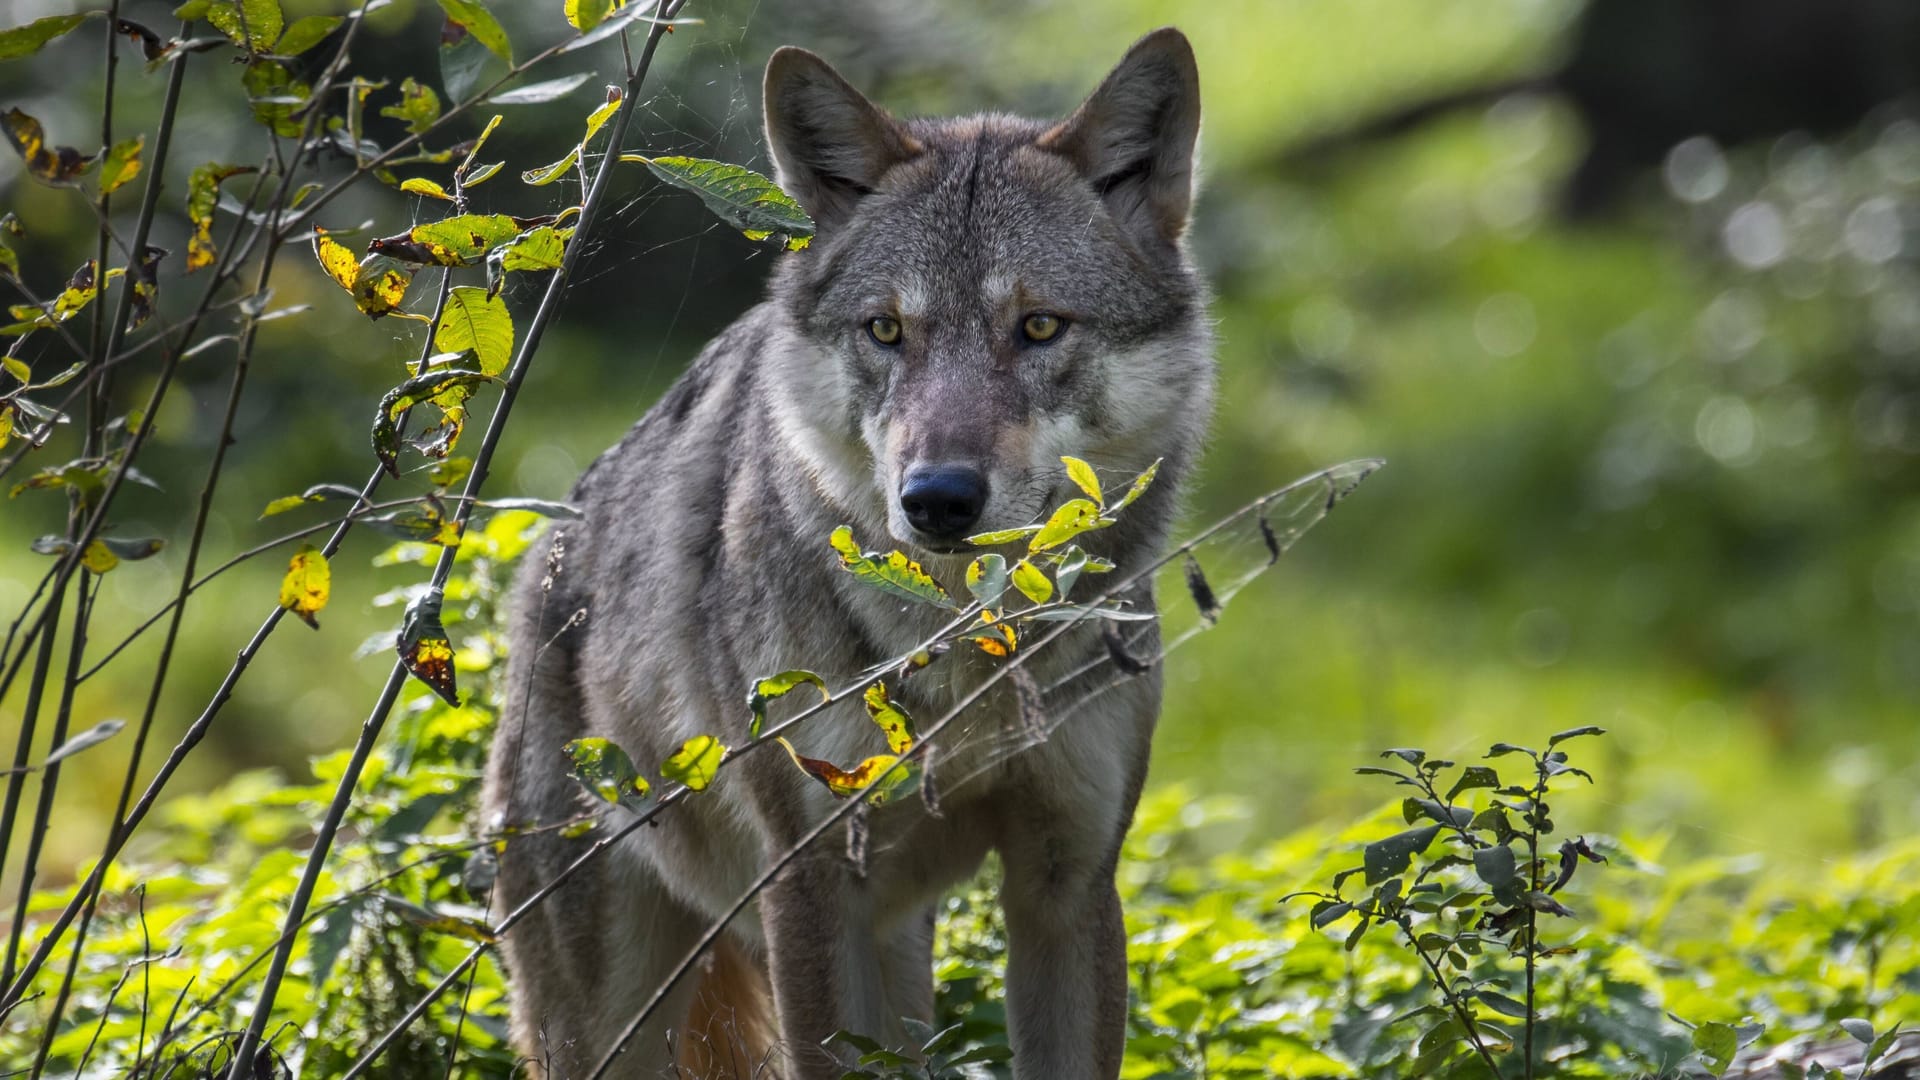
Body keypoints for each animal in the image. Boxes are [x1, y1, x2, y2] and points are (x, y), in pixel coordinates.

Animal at [487, 27, 1213, 1076]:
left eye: (1038, 326)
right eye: (886, 330)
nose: (937, 499)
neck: (963, 657)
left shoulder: (1070, 882)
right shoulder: (811, 886)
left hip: (897, 952)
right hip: (612, 1022)